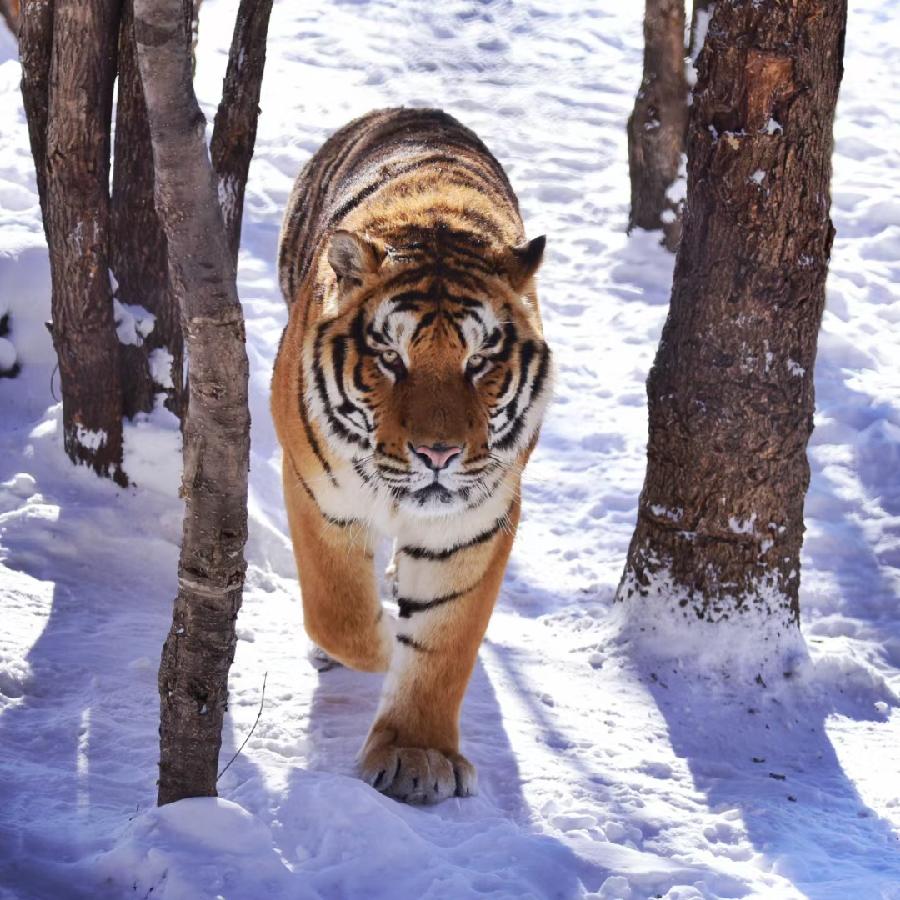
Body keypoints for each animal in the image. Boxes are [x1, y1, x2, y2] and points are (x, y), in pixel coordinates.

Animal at [272, 107, 552, 804]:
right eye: (390, 359)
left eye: (478, 361)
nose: (438, 453)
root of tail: (415, 109)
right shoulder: (319, 492)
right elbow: (338, 611)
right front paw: (376, 646)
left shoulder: (474, 520)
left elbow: (443, 644)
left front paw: (416, 758)